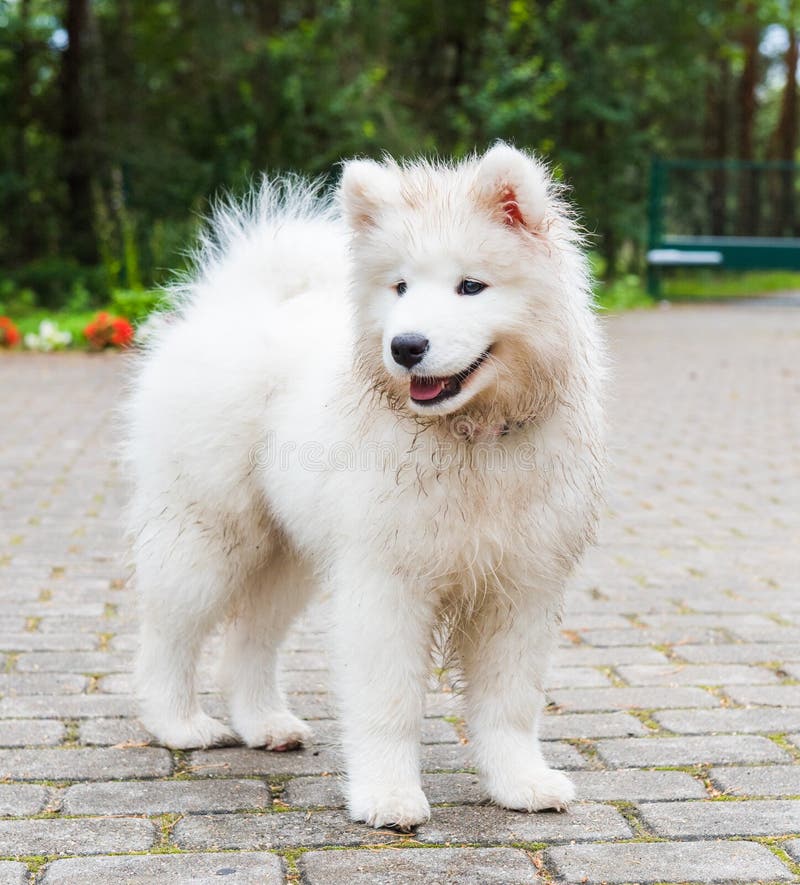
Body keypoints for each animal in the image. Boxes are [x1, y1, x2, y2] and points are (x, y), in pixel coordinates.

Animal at [125, 143, 604, 828]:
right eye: (399, 286)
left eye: (471, 285)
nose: (405, 346)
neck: (471, 439)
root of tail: (238, 303)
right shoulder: (386, 583)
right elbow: (388, 703)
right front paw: (388, 795)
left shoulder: (521, 587)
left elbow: (509, 704)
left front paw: (520, 784)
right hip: (209, 532)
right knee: (168, 631)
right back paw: (178, 724)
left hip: (287, 555)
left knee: (249, 640)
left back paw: (266, 724)